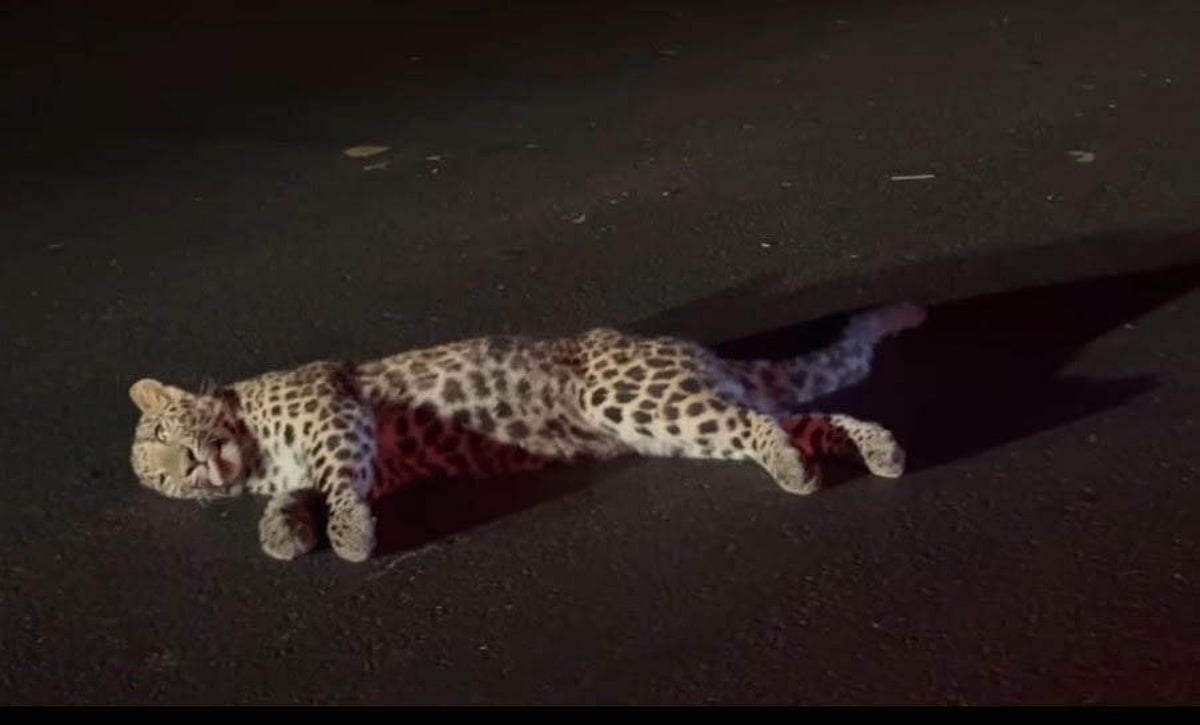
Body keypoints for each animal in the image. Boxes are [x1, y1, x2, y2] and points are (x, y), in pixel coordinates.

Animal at [128, 302, 925, 563]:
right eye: (162, 476)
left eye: (168, 428)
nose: (190, 468)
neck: (252, 446)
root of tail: (698, 352)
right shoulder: (325, 464)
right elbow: (295, 495)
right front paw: (283, 532)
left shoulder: (334, 414)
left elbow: (332, 479)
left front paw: (348, 535)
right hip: (683, 412)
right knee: (793, 417)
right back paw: (876, 448)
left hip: (632, 395)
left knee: (757, 422)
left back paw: (790, 467)